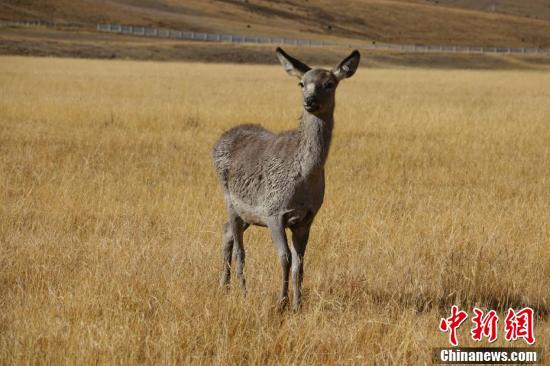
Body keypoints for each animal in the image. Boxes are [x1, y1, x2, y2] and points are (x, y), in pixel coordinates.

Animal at [212, 48, 362, 312]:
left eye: (329, 83)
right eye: (301, 83)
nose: (309, 101)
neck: (303, 180)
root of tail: (219, 141)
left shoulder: (306, 219)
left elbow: (300, 263)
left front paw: (297, 305)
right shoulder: (273, 211)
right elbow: (285, 258)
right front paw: (281, 304)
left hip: (246, 214)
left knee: (227, 232)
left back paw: (225, 286)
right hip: (230, 199)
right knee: (239, 247)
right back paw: (242, 291)